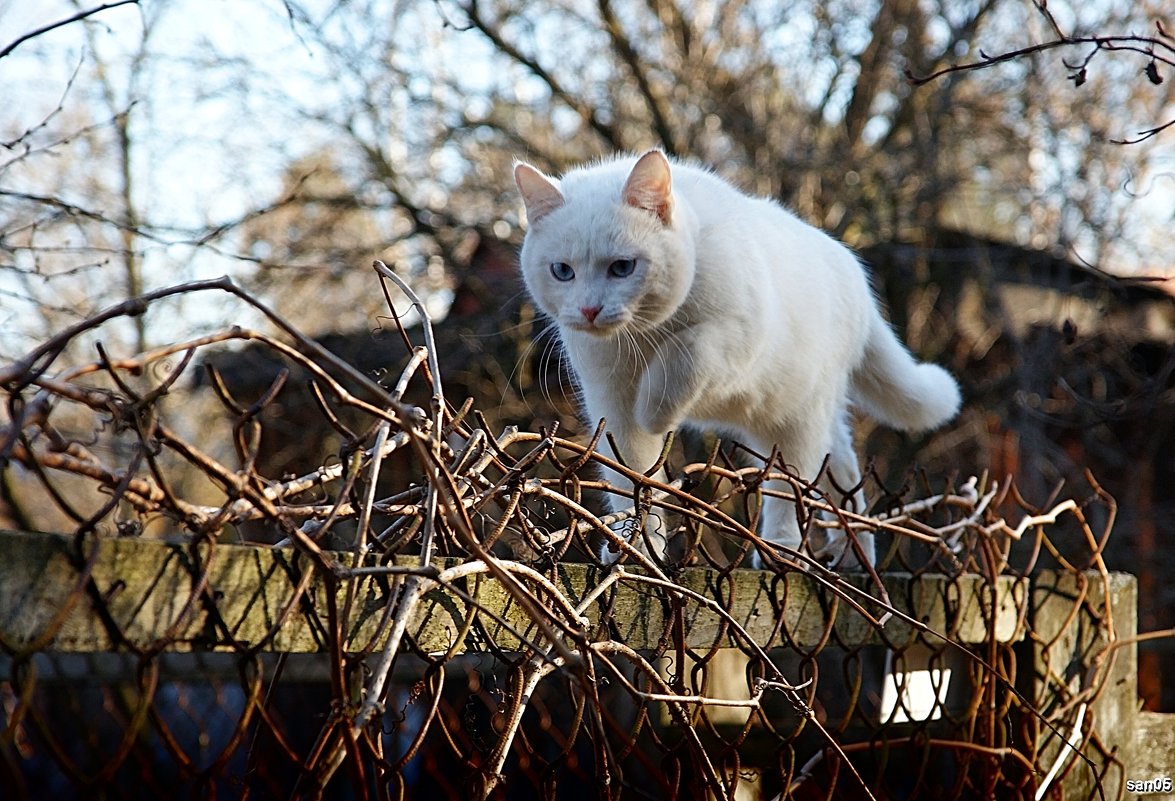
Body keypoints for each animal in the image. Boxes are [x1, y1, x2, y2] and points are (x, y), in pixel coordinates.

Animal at [509, 147, 958, 561]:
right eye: (562, 271)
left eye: (622, 267)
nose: (589, 309)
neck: (644, 336)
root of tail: (853, 272)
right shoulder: (611, 405)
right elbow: (630, 480)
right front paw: (635, 547)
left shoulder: (737, 338)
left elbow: (685, 356)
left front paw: (656, 410)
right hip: (787, 420)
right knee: (842, 471)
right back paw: (853, 555)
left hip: (798, 418)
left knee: (792, 488)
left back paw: (785, 549)